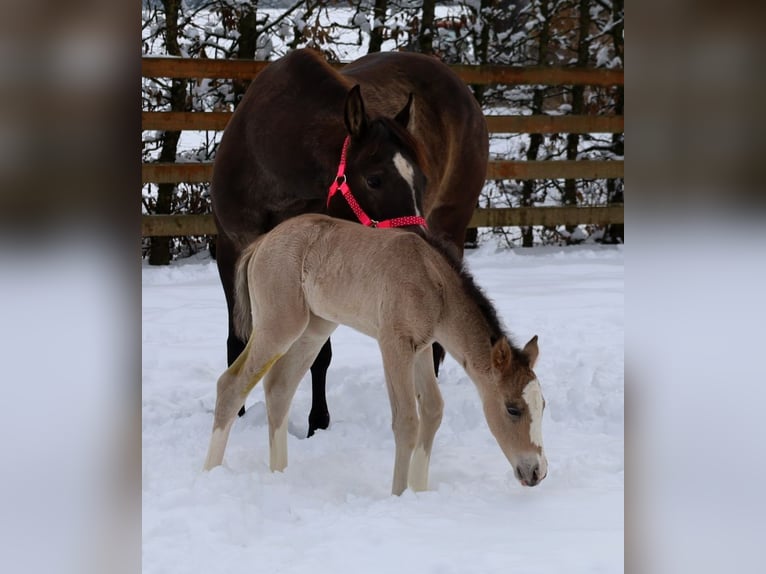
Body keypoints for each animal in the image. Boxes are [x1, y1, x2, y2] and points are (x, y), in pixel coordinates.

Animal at [203, 214, 547, 495]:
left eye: (542, 405)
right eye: (512, 409)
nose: (537, 472)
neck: (433, 283)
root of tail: (261, 243)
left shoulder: (421, 348)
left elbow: (433, 409)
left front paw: (419, 492)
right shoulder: (393, 343)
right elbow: (407, 420)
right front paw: (399, 496)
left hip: (314, 329)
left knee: (279, 388)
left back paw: (279, 474)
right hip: (279, 325)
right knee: (231, 384)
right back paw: (210, 473)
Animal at [211, 48, 489, 436]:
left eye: (423, 179)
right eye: (374, 179)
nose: (417, 243)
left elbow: (319, 354)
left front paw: (318, 424)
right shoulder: (230, 249)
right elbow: (238, 341)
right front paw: (236, 415)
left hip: (452, 224)